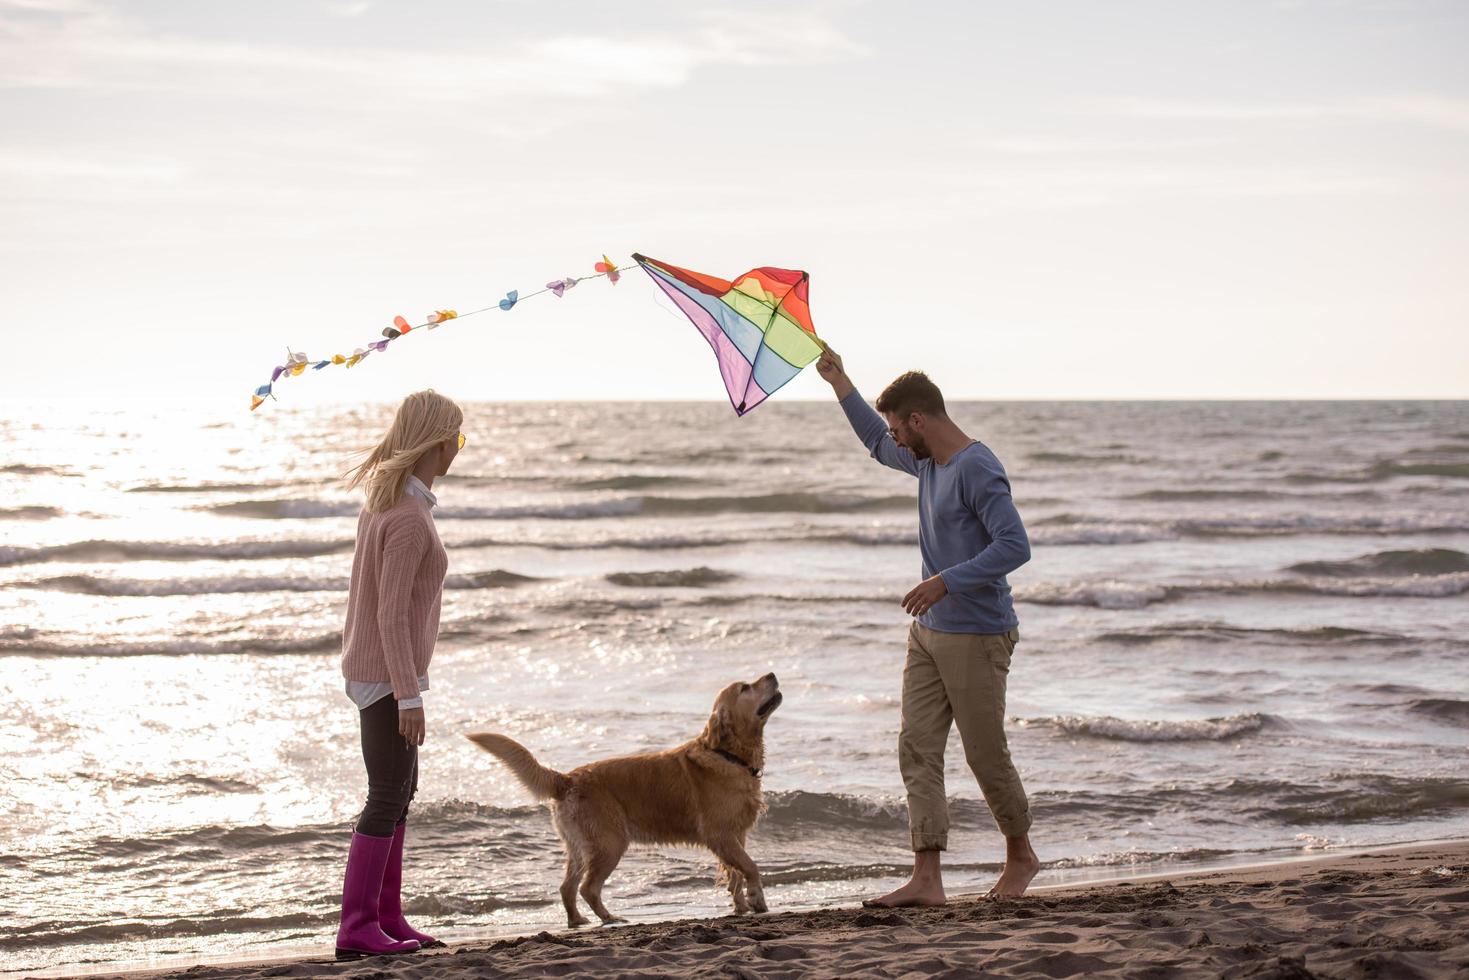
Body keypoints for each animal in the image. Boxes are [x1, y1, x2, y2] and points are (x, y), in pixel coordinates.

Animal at [470, 675, 781, 928]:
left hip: (580, 847)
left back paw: (577, 920)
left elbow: (736, 874)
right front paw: (757, 900)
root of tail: (567, 779)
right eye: (745, 688)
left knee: (566, 887)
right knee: (587, 888)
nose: (772, 674)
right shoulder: (721, 835)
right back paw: (609, 918)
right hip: (610, 843)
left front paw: (740, 906)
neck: (729, 755)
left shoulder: (736, 836)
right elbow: (750, 867)